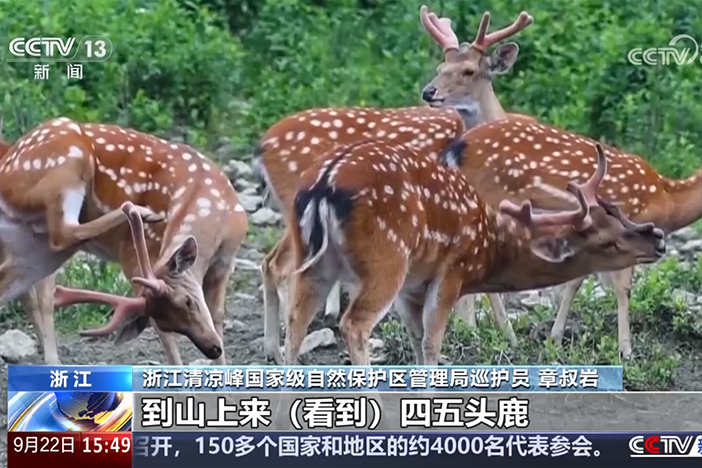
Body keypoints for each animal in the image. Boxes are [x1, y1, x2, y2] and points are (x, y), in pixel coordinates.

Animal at [0, 117, 248, 365]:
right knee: (62, 235)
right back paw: (138, 211)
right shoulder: (136, 253)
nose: (213, 348)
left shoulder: (225, 261)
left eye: (189, 301)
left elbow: (217, 315)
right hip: (66, 164)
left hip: (32, 246)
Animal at [256, 5, 534, 363]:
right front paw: (477, 333)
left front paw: (506, 337)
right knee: (281, 270)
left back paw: (274, 350)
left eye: (469, 70)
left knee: (272, 266)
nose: (429, 91)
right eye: (441, 66)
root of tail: (261, 146)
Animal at [283, 139, 665, 365]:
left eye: (615, 210)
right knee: (354, 324)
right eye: (606, 240)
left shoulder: (412, 287)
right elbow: (432, 344)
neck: (486, 251)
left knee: (296, 320)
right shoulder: (451, 272)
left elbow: (416, 340)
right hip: (386, 261)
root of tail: (322, 187)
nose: (657, 239)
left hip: (315, 261)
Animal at [437, 116, 702, 357]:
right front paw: (626, 351)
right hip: (491, 196)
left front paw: (555, 337)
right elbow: (623, 289)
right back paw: (500, 335)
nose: (659, 239)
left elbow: (576, 280)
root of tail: (456, 149)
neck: (668, 200)